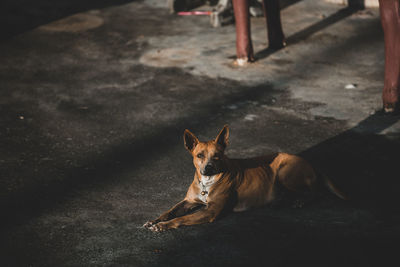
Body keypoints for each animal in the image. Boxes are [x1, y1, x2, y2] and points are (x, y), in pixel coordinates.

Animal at [143, 125, 344, 232]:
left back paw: (300, 201)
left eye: (217, 156)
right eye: (199, 155)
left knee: (316, 192)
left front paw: (163, 225)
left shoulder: (211, 211)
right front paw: (156, 220)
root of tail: (309, 163)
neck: (207, 183)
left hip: (284, 173)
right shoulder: (188, 201)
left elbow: (182, 218)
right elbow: (170, 211)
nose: (208, 168)